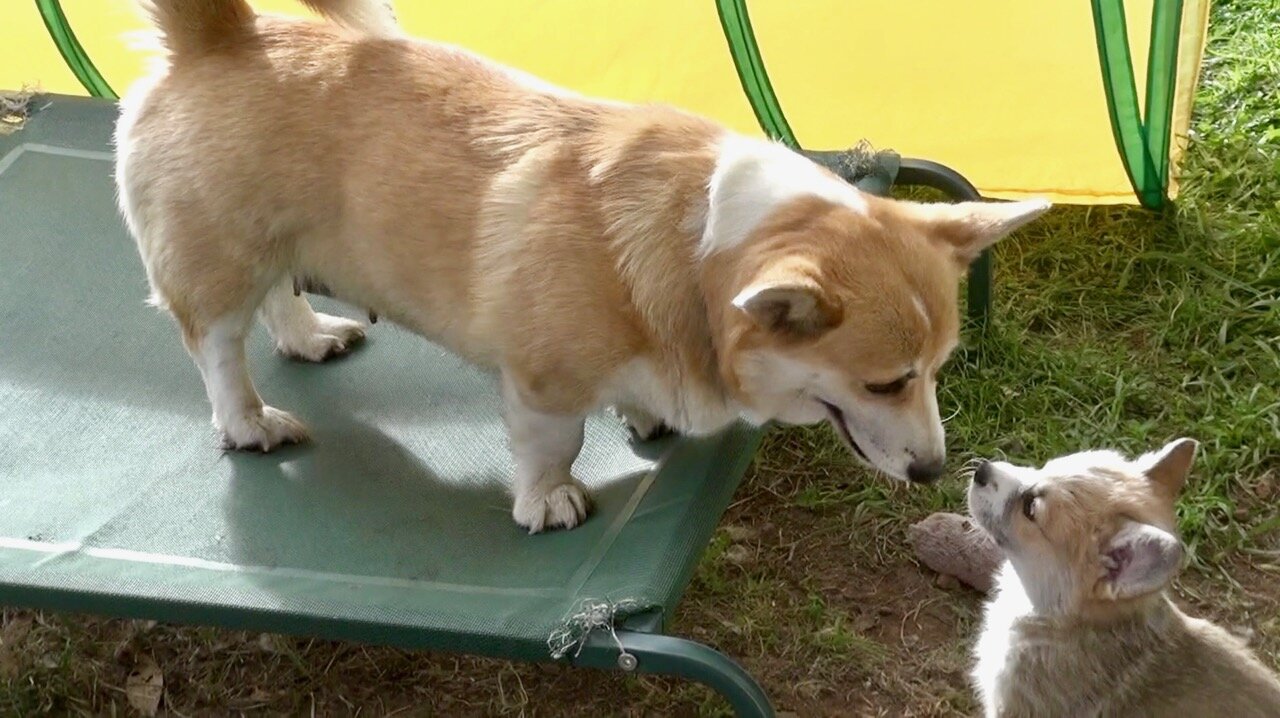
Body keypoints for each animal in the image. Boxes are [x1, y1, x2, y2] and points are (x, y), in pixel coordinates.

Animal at [112, 0, 1049, 529]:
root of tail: (218, 36)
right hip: (219, 259)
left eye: (938, 370)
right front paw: (549, 502)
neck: (696, 251)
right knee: (218, 347)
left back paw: (310, 337)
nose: (934, 473)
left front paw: (644, 415)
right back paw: (250, 422)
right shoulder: (543, 379)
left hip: (276, 242)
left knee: (278, 301)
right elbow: (552, 445)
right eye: (885, 383)